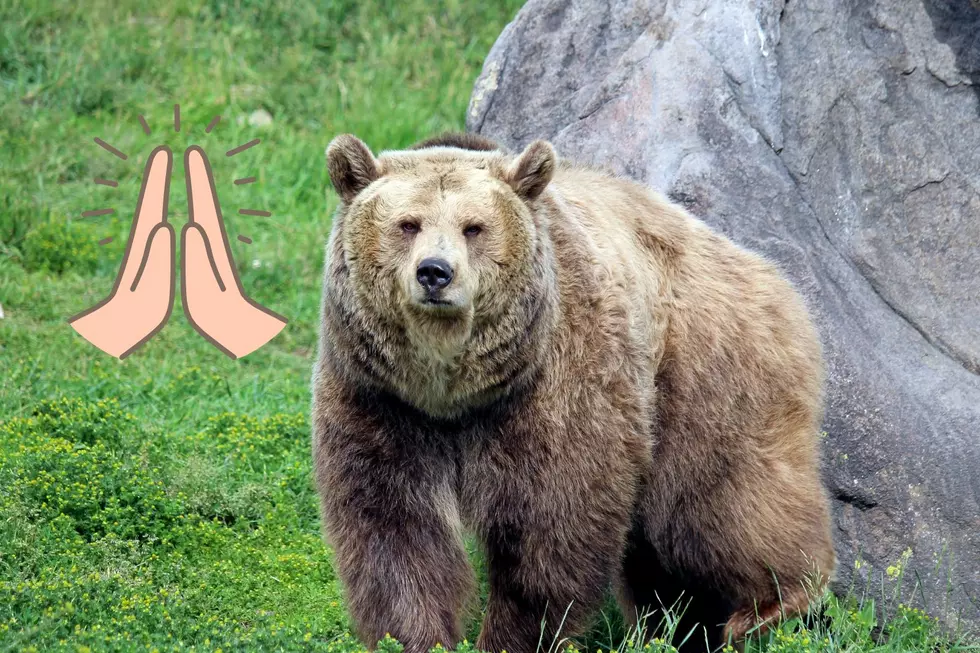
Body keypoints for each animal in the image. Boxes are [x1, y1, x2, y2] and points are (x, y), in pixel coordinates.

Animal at [312, 131, 836, 652]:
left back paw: (772, 606)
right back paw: (679, 628)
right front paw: (415, 636)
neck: (452, 391)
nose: (435, 272)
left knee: (718, 504)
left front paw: (515, 635)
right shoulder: (379, 398)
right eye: (408, 224)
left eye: (473, 228)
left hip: (705, 370)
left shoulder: (556, 384)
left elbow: (551, 522)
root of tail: (767, 270)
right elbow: (394, 528)